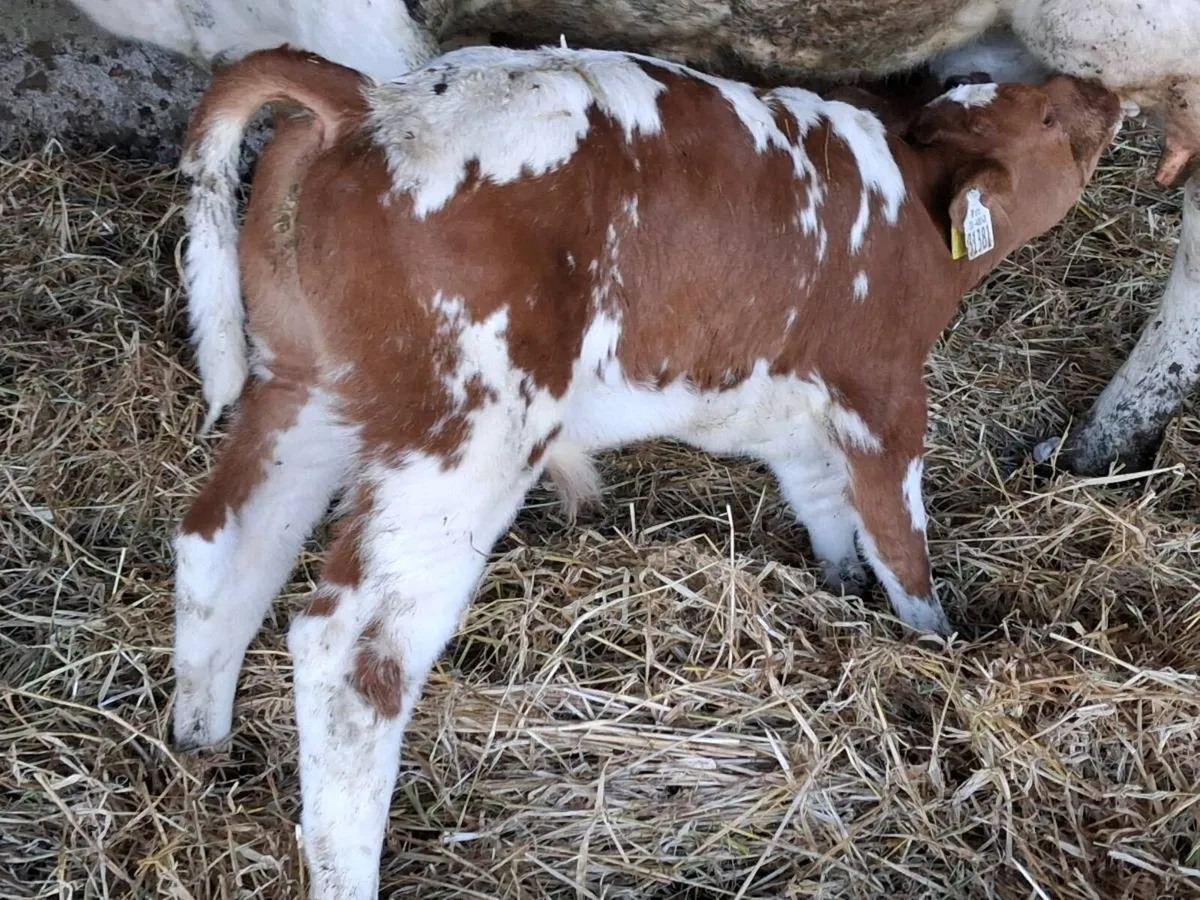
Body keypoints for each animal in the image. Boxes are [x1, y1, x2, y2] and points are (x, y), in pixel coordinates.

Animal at [172, 44, 1122, 897]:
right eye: (1047, 118)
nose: (1103, 91)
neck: (904, 205)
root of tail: (368, 98)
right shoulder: (884, 392)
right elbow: (898, 533)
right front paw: (935, 641)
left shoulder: (782, 401)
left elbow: (821, 498)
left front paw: (839, 585)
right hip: (463, 433)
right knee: (349, 652)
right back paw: (342, 863)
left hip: (302, 382)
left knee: (221, 539)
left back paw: (201, 738)